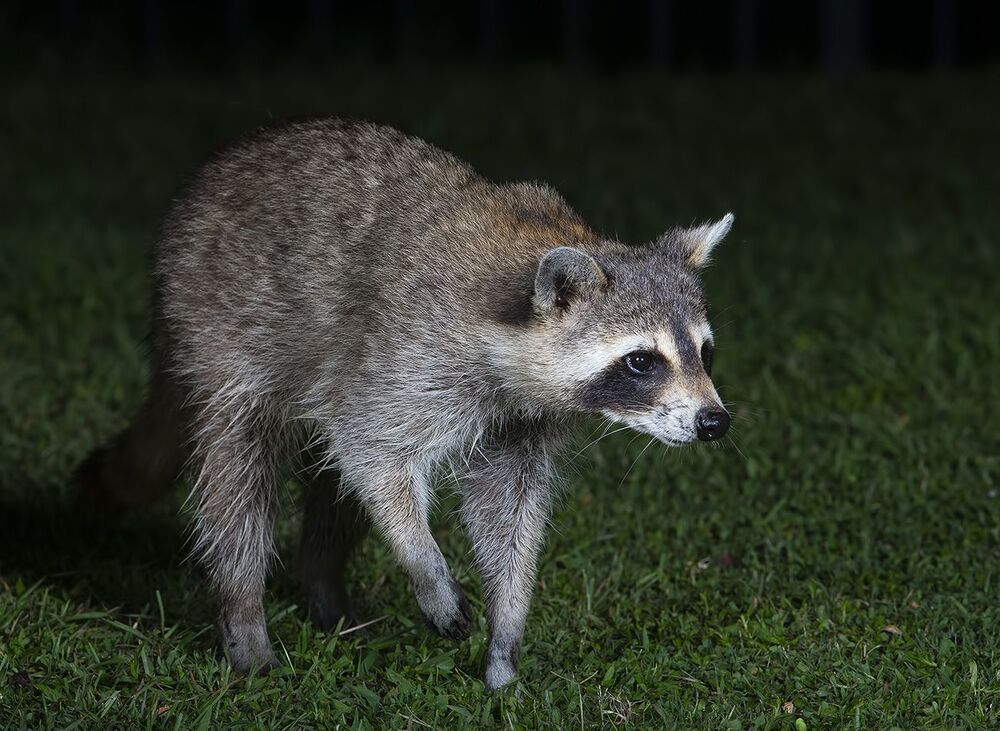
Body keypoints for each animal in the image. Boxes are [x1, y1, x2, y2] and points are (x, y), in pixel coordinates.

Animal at [78, 119, 733, 690]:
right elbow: (375, 454)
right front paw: (426, 564)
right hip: (218, 320)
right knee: (240, 477)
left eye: (704, 352)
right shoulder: (410, 355)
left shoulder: (520, 417)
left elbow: (506, 507)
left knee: (332, 486)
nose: (715, 422)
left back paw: (322, 584)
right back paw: (244, 614)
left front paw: (507, 627)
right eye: (642, 361)